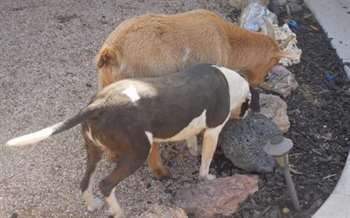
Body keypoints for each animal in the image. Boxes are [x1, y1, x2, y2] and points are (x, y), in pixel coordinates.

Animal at [6, 63, 252, 217]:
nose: (247, 114)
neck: (231, 82)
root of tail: (99, 103)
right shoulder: (213, 132)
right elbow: (206, 161)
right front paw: (207, 176)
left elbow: (191, 137)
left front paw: (193, 150)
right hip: (137, 153)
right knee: (106, 185)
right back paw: (118, 212)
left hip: (94, 150)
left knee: (86, 181)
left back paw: (92, 205)